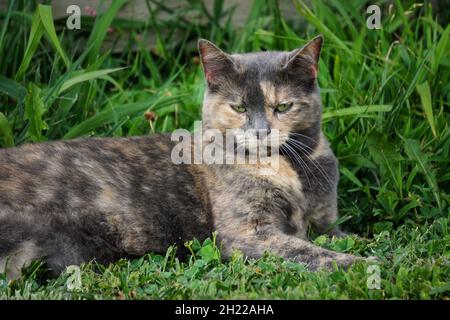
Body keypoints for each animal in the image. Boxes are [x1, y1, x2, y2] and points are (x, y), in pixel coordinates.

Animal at [0, 35, 362, 280]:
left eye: (283, 106)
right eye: (239, 107)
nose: (261, 131)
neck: (289, 171)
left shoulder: (327, 223)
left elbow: (350, 237)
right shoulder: (247, 233)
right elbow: (309, 252)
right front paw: (362, 265)